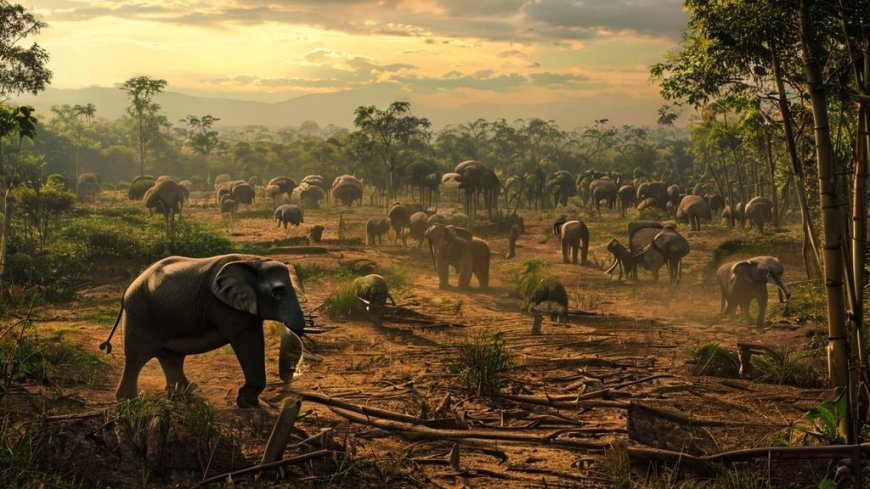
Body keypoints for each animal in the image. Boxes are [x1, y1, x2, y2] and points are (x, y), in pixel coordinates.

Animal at [99, 254, 307, 408]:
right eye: (278, 293)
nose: (290, 374)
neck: (254, 261)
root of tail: (126, 290)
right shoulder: (225, 308)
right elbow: (246, 339)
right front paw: (247, 404)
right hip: (140, 312)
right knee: (137, 356)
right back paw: (128, 402)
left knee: (171, 357)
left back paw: (185, 396)